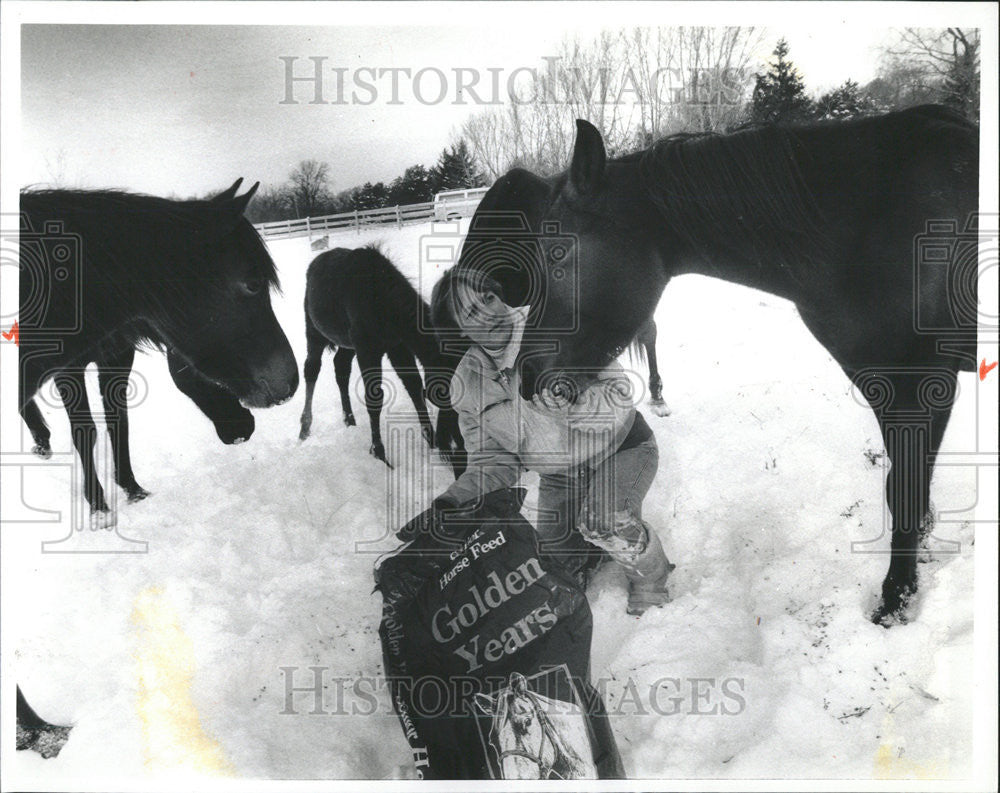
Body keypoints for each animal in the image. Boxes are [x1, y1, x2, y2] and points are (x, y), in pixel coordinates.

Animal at [19, 180, 298, 524]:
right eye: (253, 283)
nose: (289, 382)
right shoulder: (68, 367)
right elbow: (86, 431)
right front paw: (98, 508)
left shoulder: (115, 358)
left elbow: (119, 423)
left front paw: (132, 489)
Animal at [298, 244, 466, 474]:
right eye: (444, 393)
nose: (458, 448)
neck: (383, 303)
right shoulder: (367, 349)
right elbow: (374, 398)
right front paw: (379, 453)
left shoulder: (397, 346)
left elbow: (414, 386)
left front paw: (430, 438)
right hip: (315, 332)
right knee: (311, 370)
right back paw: (304, 428)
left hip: (346, 344)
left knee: (341, 368)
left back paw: (349, 419)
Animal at [458, 106, 980, 624]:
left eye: (557, 252)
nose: (528, 375)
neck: (868, 222)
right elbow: (907, 489)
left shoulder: (918, 388)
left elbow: (905, 494)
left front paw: (894, 604)